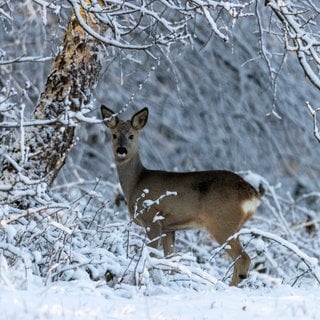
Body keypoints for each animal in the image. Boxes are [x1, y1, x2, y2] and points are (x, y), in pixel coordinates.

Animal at [101, 106, 264, 286]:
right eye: (114, 135)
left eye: (131, 135)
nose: (121, 150)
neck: (136, 182)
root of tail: (252, 194)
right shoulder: (169, 227)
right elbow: (170, 259)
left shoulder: (152, 219)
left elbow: (151, 255)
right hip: (235, 226)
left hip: (222, 223)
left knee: (243, 259)